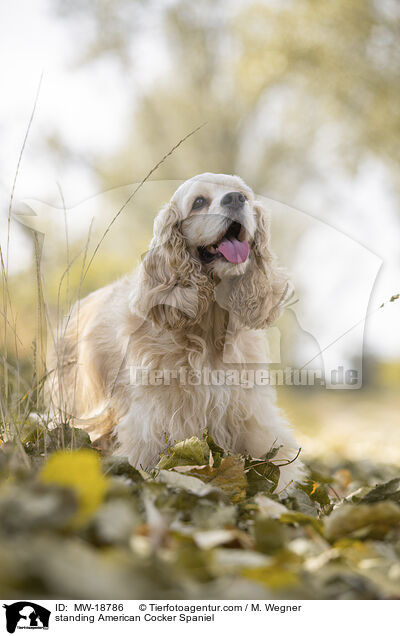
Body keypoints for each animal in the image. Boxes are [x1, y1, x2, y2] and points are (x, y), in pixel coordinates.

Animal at [47, 171, 304, 490]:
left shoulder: (250, 413)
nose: (235, 200)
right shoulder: (157, 419)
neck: (209, 328)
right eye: (199, 202)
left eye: (243, 194)